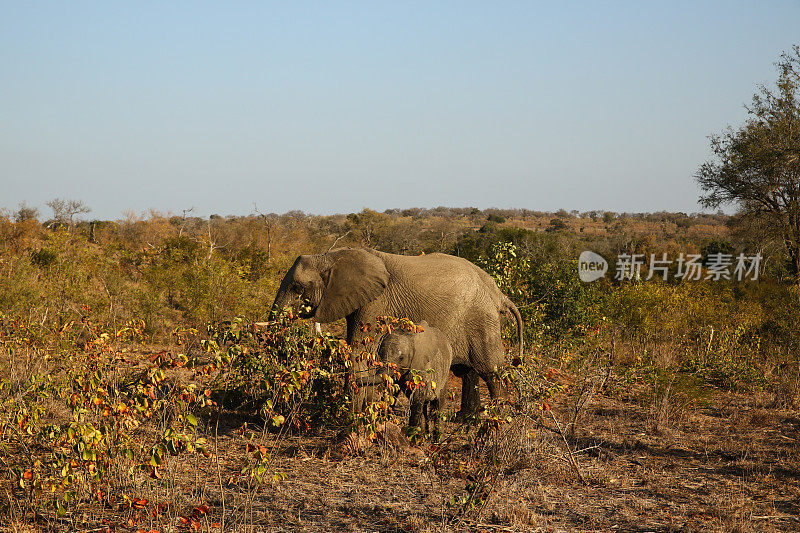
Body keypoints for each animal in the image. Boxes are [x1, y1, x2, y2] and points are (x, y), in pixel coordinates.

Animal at [270, 247, 524, 414]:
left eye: (297, 287)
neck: (331, 257)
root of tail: (497, 291)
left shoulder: (376, 303)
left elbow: (360, 351)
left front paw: (350, 416)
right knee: (468, 371)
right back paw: (465, 419)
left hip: (480, 318)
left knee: (490, 369)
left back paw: (498, 417)